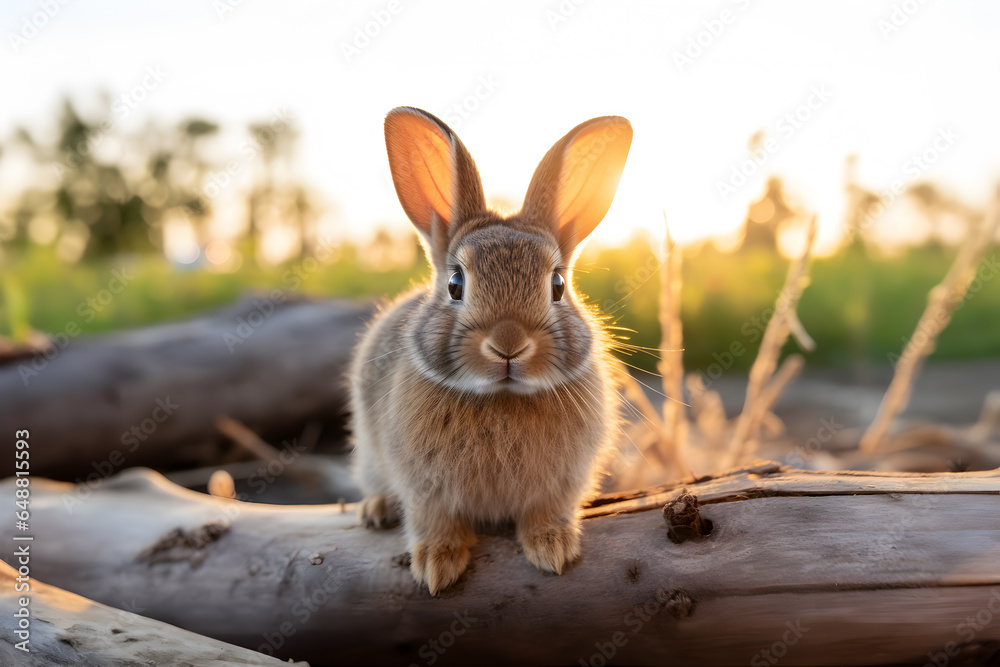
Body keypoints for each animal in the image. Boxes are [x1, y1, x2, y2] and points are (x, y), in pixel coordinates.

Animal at [350, 106, 632, 595]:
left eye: (558, 285)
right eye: (455, 284)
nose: (508, 345)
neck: (502, 397)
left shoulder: (561, 484)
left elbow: (546, 512)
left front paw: (552, 548)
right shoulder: (424, 488)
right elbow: (433, 521)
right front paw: (437, 564)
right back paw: (376, 508)